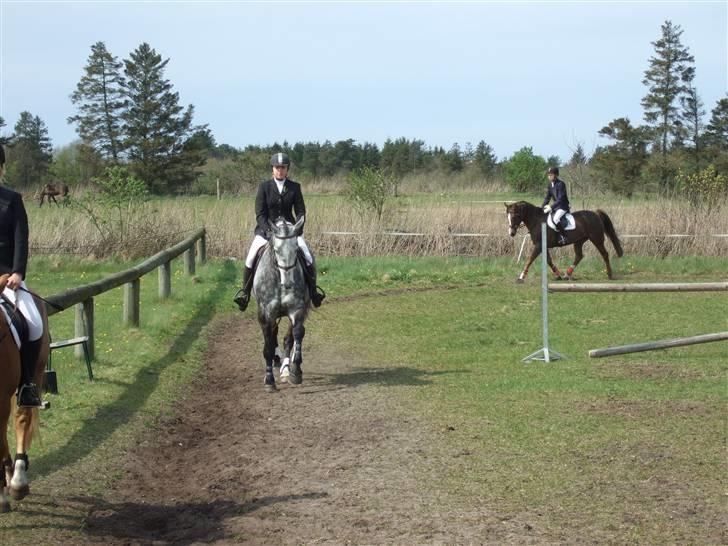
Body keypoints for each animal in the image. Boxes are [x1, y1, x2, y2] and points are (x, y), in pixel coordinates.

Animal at [253, 215, 310, 388]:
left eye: (296, 249)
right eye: (277, 251)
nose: (288, 284)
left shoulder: (297, 309)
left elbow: (296, 334)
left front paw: (295, 371)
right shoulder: (266, 314)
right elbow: (268, 346)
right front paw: (269, 381)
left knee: (288, 338)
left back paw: (285, 368)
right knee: (272, 336)